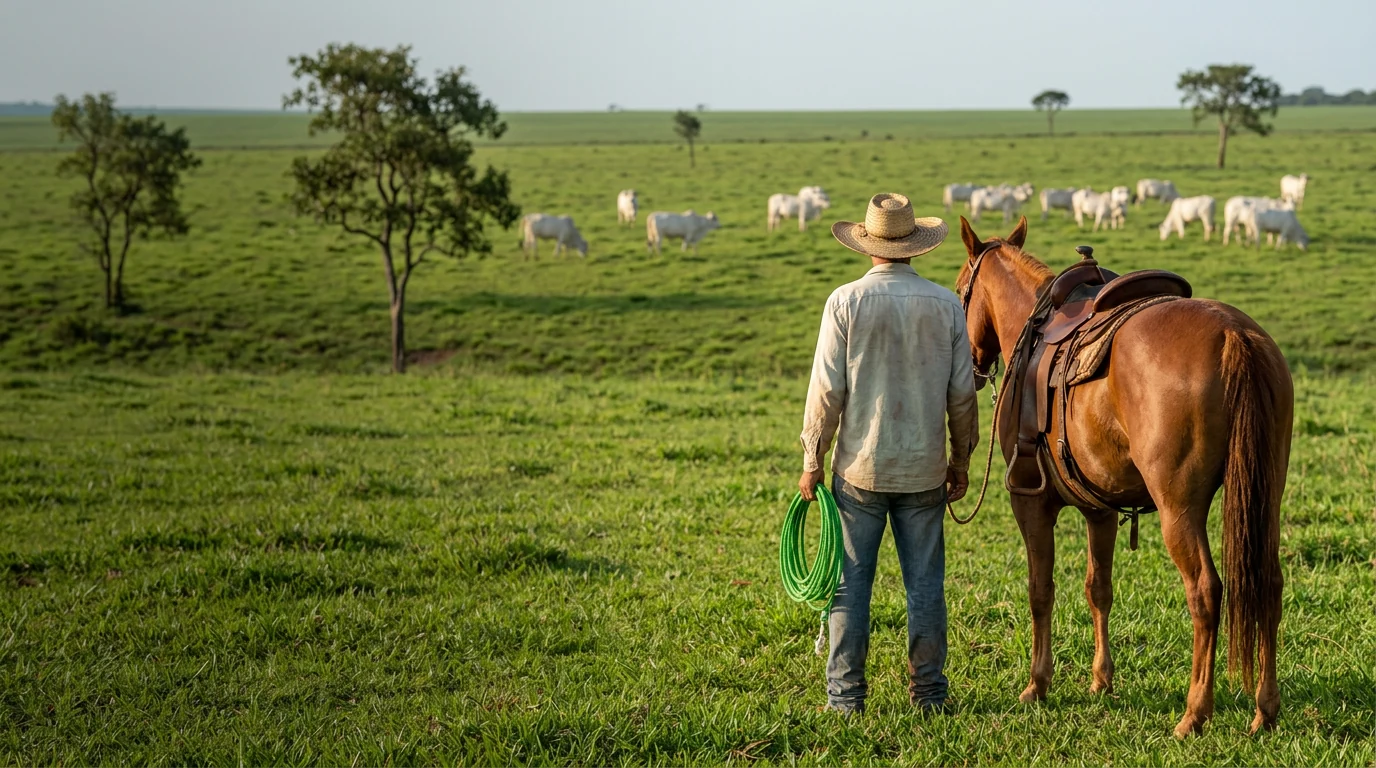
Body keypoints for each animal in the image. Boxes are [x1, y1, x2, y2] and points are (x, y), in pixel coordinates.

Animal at [954, 216, 1292, 738]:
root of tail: (1234, 334)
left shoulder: (1030, 503)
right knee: (1268, 584)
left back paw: (1195, 712)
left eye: (959, 292)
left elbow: (1040, 589)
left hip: (1179, 508)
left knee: (1205, 592)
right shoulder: (1101, 510)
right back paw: (1265, 709)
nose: (970, 366)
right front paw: (1101, 680)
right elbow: (1099, 588)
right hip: (1266, 494)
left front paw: (1037, 684)